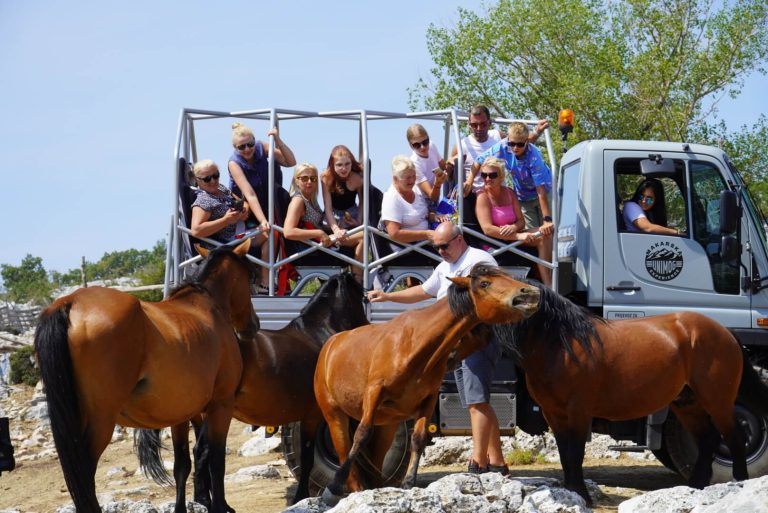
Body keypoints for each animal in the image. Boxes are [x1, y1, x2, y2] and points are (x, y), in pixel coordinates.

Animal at [34, 240, 258, 513]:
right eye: (251, 277)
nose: (254, 325)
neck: (205, 306)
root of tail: (70, 302)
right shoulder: (221, 405)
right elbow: (215, 459)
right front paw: (219, 505)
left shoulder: (182, 414)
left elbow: (183, 464)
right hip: (100, 423)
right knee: (84, 475)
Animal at [136, 271, 370, 509]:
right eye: (362, 296)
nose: (367, 325)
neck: (318, 333)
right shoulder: (313, 415)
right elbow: (307, 458)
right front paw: (301, 497)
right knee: (202, 452)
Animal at [314, 264, 541, 504]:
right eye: (484, 283)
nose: (529, 293)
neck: (414, 343)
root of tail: (330, 345)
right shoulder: (374, 393)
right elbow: (361, 435)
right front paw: (333, 486)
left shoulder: (428, 399)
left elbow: (418, 438)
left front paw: (408, 483)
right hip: (334, 415)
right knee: (345, 448)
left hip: (387, 424)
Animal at [494, 284, 768, 505]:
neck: (564, 345)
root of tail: (726, 332)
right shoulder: (554, 414)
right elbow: (564, 455)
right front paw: (572, 493)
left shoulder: (579, 411)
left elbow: (575, 453)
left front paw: (582, 496)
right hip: (687, 403)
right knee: (708, 438)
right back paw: (695, 487)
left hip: (717, 399)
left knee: (734, 435)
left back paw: (739, 482)